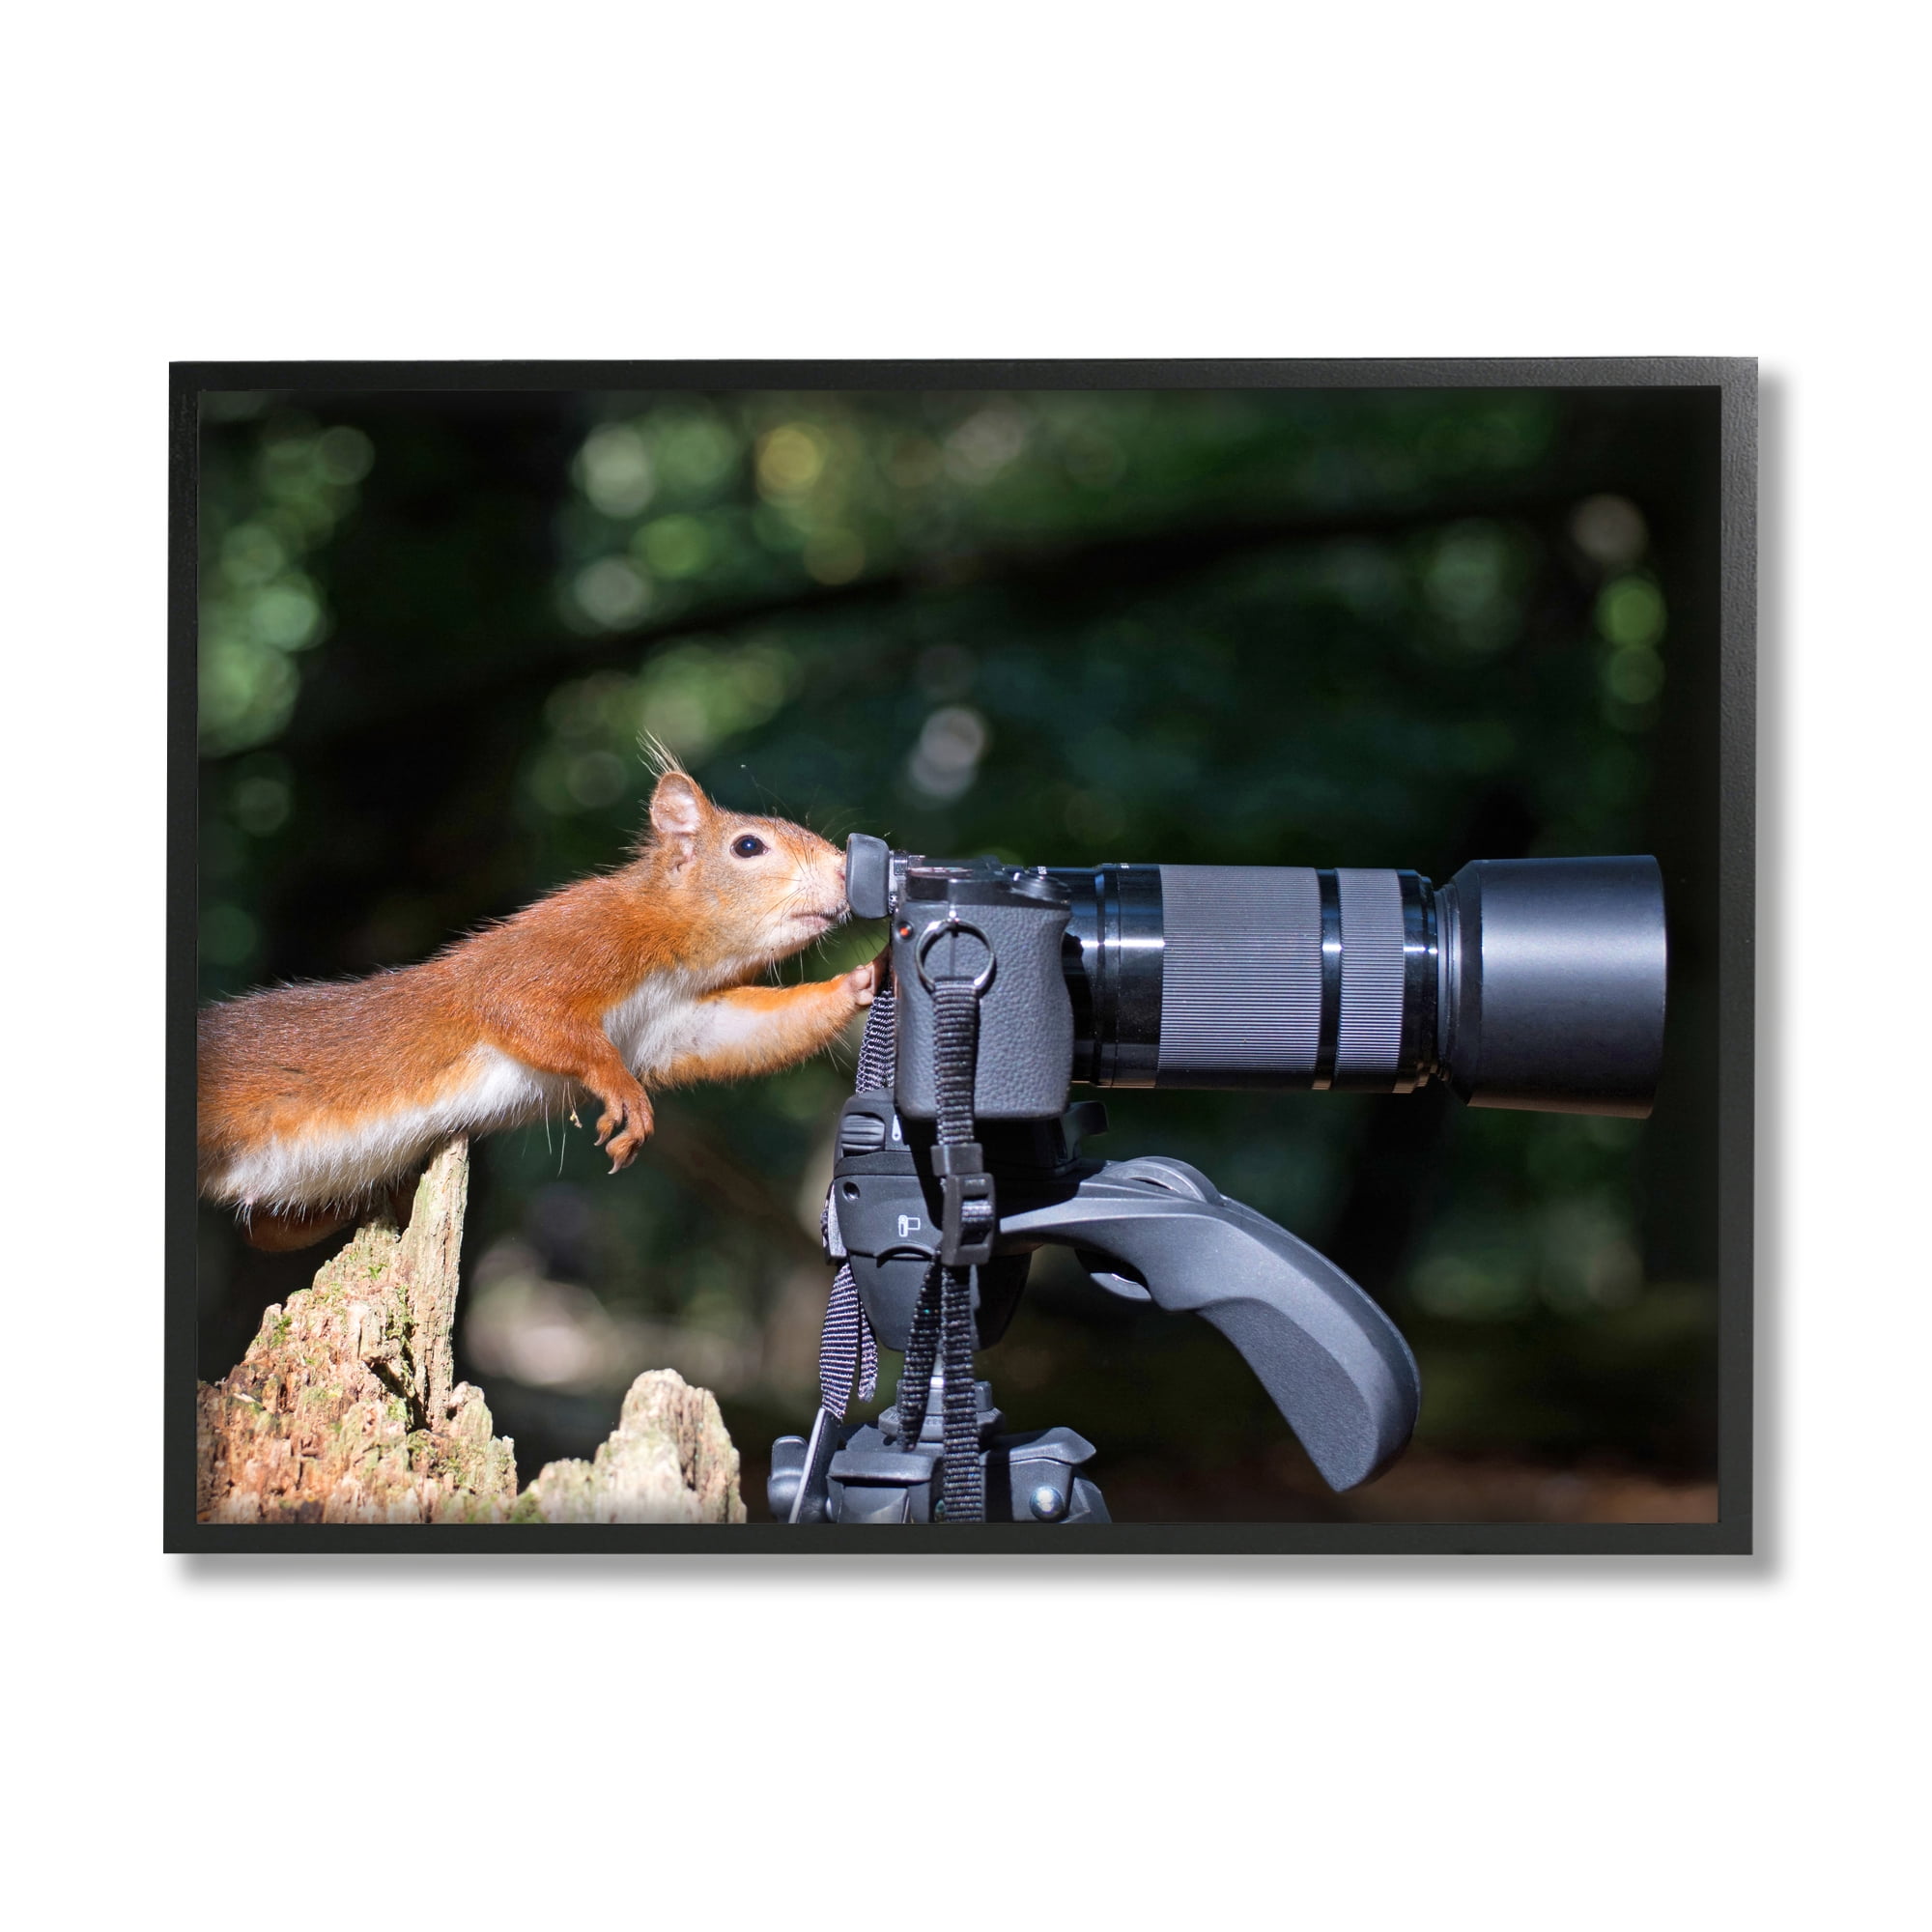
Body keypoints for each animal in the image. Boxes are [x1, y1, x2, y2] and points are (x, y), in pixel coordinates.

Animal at [198, 762, 881, 1253]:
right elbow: (520, 1008)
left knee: (266, 1232)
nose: (846, 871)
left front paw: (868, 976)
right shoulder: (565, 946)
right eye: (748, 846)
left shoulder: (676, 1024)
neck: (676, 952)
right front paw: (621, 1091)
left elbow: (743, 1032)